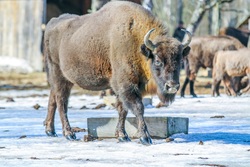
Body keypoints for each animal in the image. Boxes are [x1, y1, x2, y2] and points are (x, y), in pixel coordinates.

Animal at [43, 0, 191, 145]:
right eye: (158, 61)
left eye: (180, 61)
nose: (172, 86)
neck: (137, 42)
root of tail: (52, 23)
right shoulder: (126, 85)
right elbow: (138, 108)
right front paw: (144, 137)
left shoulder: (124, 89)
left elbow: (122, 109)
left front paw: (122, 136)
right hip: (59, 75)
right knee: (62, 101)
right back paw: (69, 134)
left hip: (62, 79)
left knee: (53, 97)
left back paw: (50, 130)